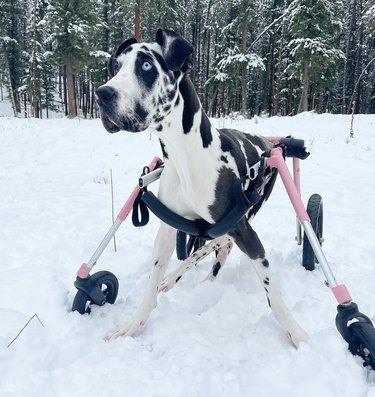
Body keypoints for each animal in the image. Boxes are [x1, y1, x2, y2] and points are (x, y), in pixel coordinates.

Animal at [96, 27, 308, 344]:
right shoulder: (168, 229)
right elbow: (152, 282)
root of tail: (268, 141)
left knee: (221, 242)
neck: (185, 155)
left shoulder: (245, 230)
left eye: (146, 65)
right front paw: (133, 325)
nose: (103, 93)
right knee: (214, 245)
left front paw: (296, 334)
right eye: (116, 66)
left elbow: (273, 291)